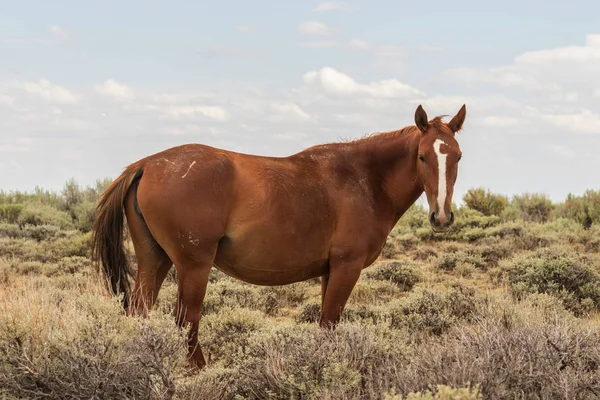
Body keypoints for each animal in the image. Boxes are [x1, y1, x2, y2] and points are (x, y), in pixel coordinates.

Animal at [92, 102, 468, 368]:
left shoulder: (330, 272)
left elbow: (325, 323)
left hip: (153, 260)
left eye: (458, 157)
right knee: (186, 319)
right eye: (422, 156)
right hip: (192, 266)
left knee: (140, 312)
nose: (441, 216)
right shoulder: (346, 267)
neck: (363, 179)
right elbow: (329, 323)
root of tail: (145, 165)